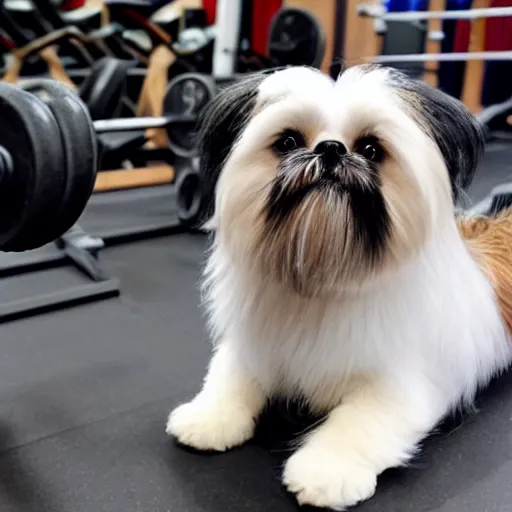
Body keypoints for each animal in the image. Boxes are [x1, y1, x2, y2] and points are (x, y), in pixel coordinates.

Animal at [166, 63, 510, 508]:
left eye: (371, 149)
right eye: (288, 141)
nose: (330, 149)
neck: (325, 277)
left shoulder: (397, 384)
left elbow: (360, 423)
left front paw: (326, 471)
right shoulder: (254, 345)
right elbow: (230, 376)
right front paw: (208, 416)